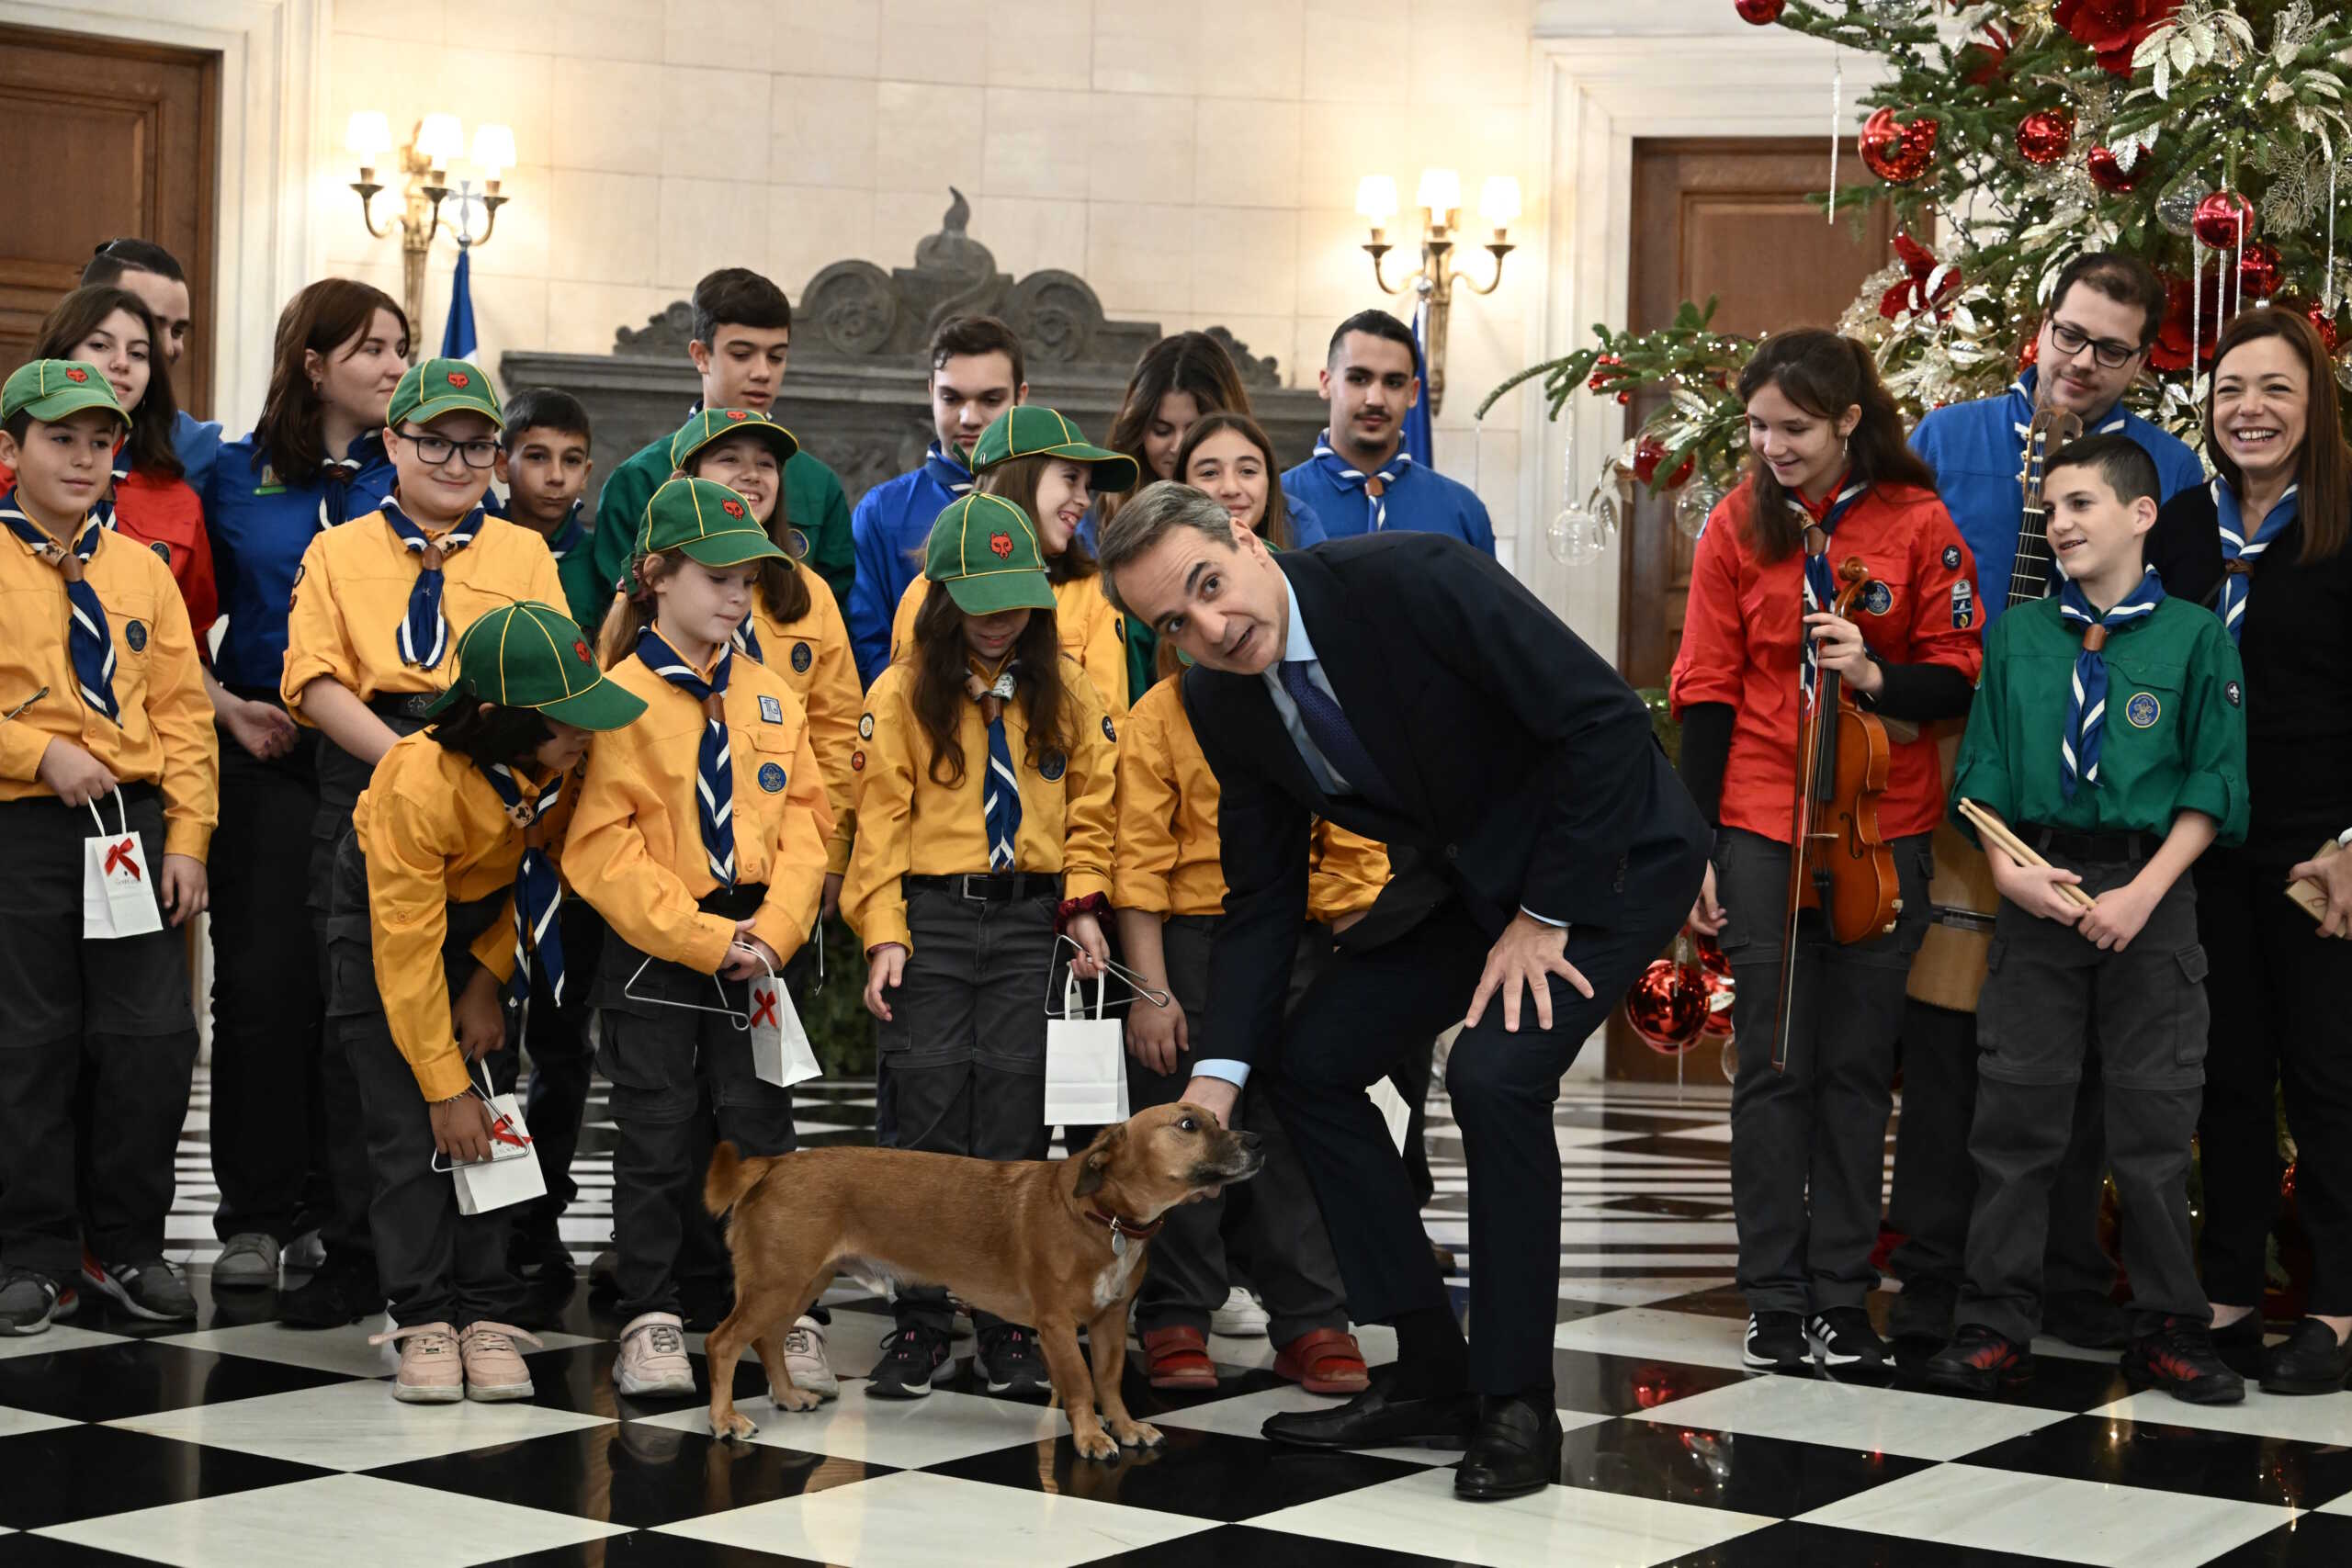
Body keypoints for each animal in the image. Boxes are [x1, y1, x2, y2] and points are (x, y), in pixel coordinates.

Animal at [695, 1104, 1261, 1457]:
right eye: (1187, 1124)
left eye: (1217, 1118)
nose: (1257, 1139)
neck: (1106, 1217)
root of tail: (771, 1165)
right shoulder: (1058, 1326)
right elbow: (1080, 1384)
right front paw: (1091, 1437)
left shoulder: (1109, 1321)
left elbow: (1109, 1381)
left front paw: (1122, 1427)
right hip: (778, 1284)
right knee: (724, 1343)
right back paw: (724, 1420)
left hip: (799, 1283)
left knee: (767, 1340)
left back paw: (788, 1395)